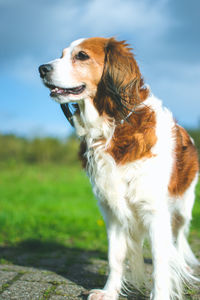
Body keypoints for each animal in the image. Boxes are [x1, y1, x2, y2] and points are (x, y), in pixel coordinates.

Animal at [38, 37, 198, 300]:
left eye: (81, 56)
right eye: (61, 54)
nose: (41, 69)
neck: (112, 127)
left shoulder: (155, 211)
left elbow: (160, 263)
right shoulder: (111, 212)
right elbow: (115, 257)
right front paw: (109, 291)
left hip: (182, 208)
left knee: (179, 238)